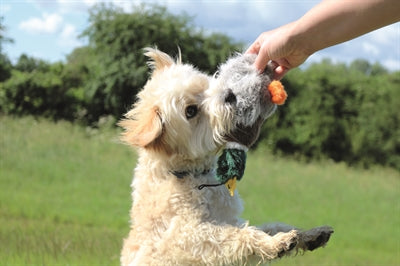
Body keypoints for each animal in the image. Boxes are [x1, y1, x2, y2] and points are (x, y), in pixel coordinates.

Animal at [119, 48, 334, 266]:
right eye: (191, 111)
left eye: (205, 84)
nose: (230, 95)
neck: (189, 173)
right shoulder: (187, 236)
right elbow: (240, 235)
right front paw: (276, 243)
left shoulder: (227, 220)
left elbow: (270, 226)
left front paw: (308, 235)